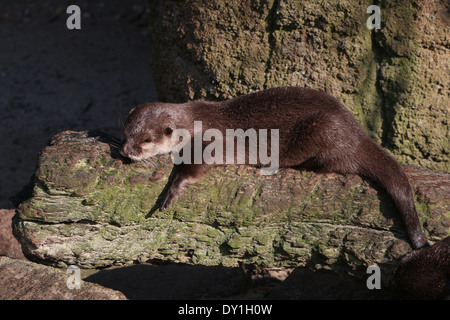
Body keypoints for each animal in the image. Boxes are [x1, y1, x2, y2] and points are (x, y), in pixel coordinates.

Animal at [119, 86, 428, 249]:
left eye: (146, 140)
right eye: (126, 133)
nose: (127, 152)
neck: (193, 122)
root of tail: (358, 134)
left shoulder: (211, 142)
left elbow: (196, 169)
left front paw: (173, 190)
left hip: (323, 129)